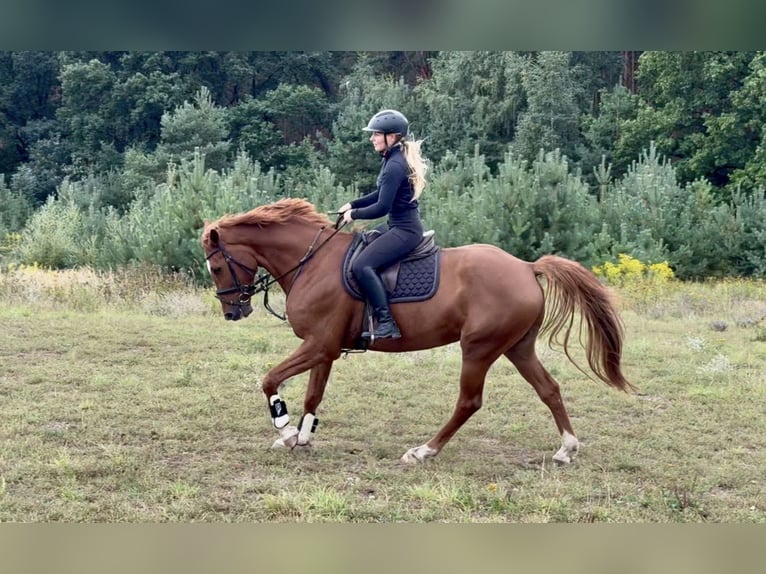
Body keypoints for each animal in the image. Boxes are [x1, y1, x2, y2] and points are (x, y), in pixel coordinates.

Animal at [200, 198, 633, 464]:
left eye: (218, 267)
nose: (233, 312)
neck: (312, 262)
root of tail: (527, 267)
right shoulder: (324, 348)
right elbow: (313, 394)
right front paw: (304, 436)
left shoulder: (319, 345)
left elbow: (270, 380)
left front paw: (286, 430)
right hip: (517, 347)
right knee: (549, 389)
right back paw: (566, 449)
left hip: (479, 348)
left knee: (468, 402)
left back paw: (424, 451)